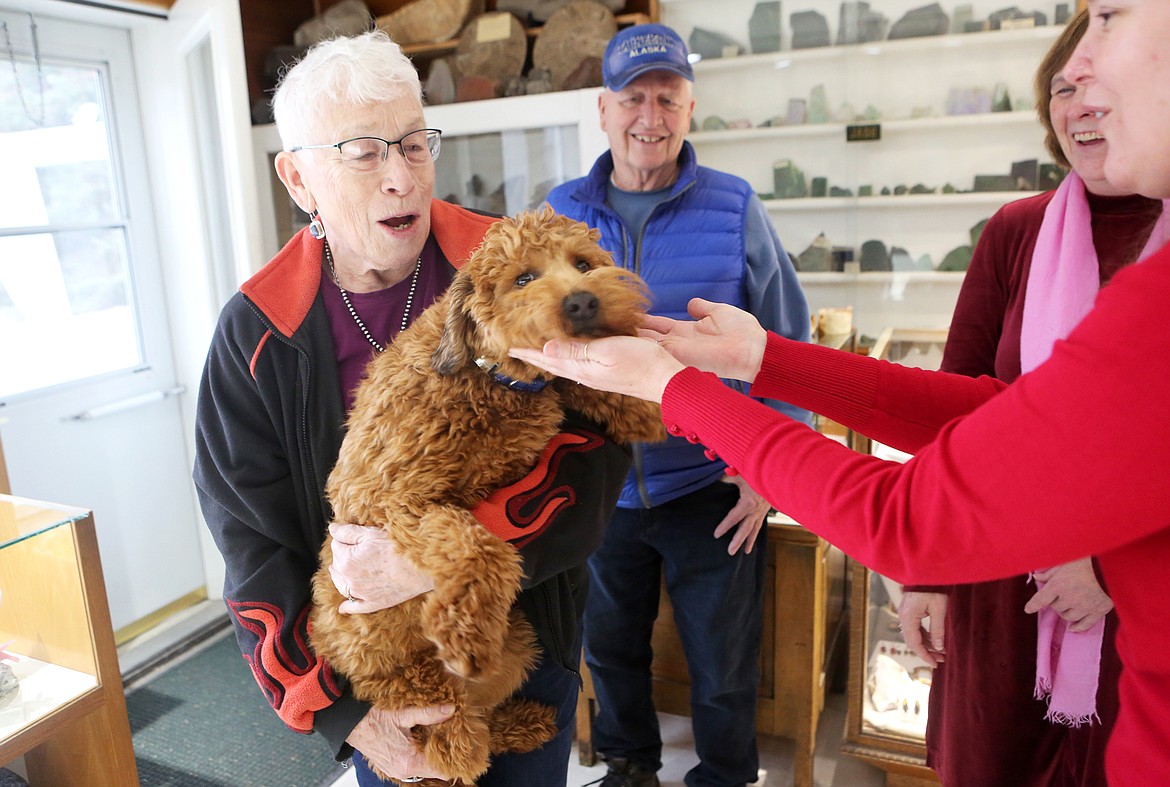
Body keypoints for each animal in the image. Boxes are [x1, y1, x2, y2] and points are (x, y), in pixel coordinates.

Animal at [308, 205, 669, 781]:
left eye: (583, 264)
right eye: (523, 278)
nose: (583, 301)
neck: (489, 379)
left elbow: (577, 380)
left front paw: (638, 402)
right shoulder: (398, 504)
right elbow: (478, 545)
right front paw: (466, 630)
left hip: (519, 642)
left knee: (483, 720)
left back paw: (523, 724)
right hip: (410, 683)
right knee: (448, 738)